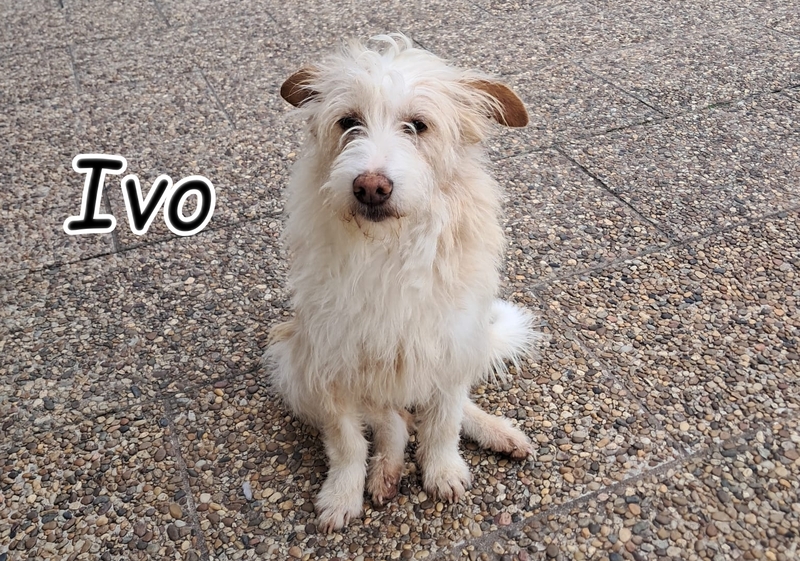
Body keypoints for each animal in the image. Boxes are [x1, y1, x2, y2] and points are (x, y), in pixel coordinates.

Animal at [266, 34, 542, 532]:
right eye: (348, 122)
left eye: (418, 125)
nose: (370, 186)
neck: (388, 247)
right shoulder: (327, 361)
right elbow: (347, 440)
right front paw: (342, 494)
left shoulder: (451, 343)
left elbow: (445, 421)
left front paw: (443, 469)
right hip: (293, 367)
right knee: (389, 419)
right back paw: (386, 470)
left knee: (437, 409)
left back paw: (495, 431)